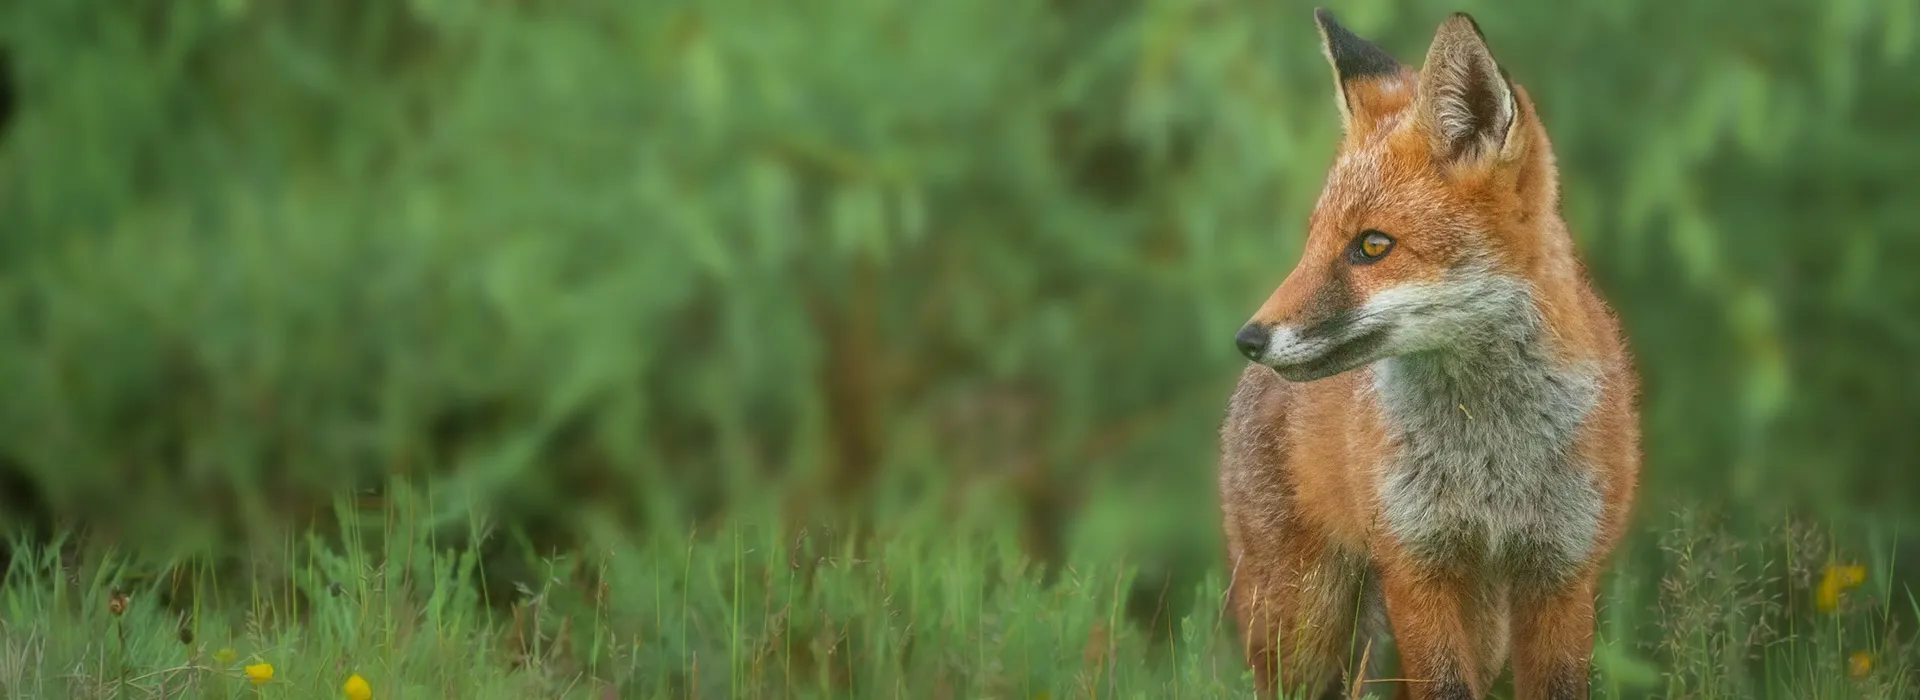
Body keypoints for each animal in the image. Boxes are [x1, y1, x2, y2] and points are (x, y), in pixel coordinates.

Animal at [1221, 9, 1643, 698]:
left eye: (1372, 246)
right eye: (1313, 242)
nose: (1248, 339)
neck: (1491, 458)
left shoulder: (1562, 572)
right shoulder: (1416, 567)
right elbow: (1443, 684)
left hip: (1477, 621)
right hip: (1305, 623)